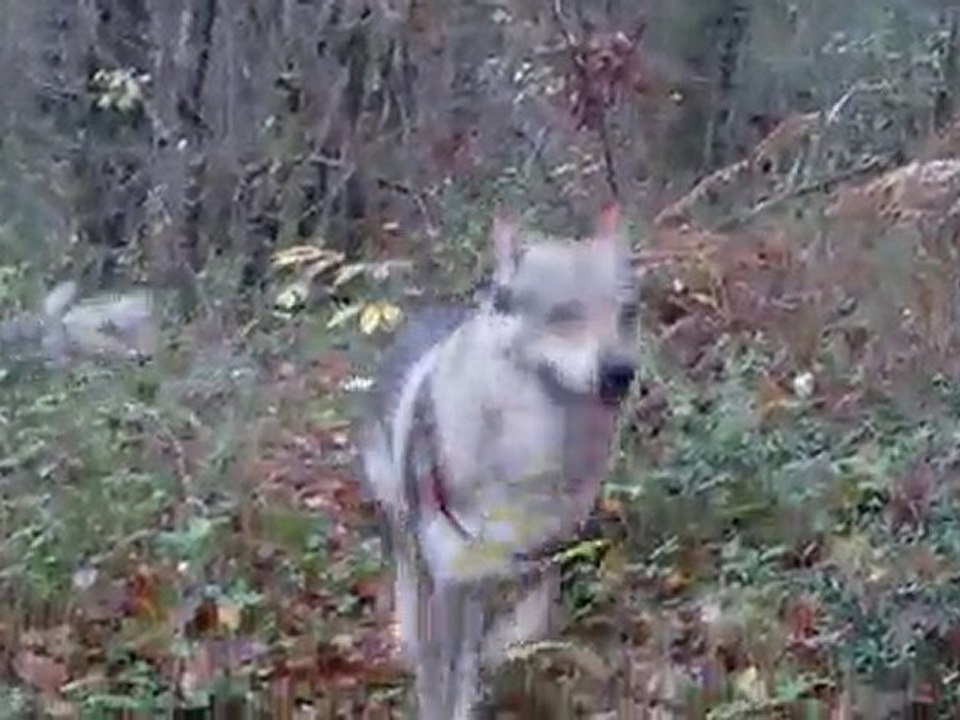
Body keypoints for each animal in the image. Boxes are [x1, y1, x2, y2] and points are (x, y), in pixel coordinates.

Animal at [355, 205, 638, 719]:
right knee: (408, 589)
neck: (530, 454)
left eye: (628, 315)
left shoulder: (541, 560)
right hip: (404, 532)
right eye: (564, 314)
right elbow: (438, 681)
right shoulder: (448, 579)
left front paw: (499, 650)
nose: (621, 373)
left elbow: (521, 629)